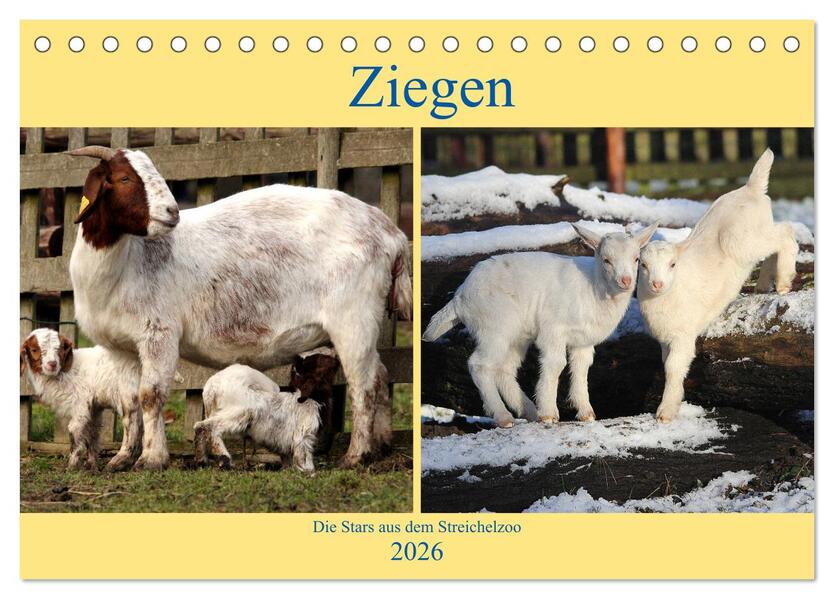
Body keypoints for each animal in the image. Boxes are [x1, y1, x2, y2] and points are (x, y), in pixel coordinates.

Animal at [19, 328, 143, 471]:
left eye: (60, 348)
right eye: (34, 349)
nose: (52, 364)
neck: (66, 371)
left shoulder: (80, 404)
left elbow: (74, 433)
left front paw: (71, 467)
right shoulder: (94, 407)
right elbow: (92, 434)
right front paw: (91, 465)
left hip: (129, 395)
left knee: (133, 425)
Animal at [194, 350, 341, 472]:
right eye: (319, 359)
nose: (336, 357)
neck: (312, 398)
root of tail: (212, 387)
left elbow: (287, 457)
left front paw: (287, 469)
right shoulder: (303, 435)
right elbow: (304, 455)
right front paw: (309, 471)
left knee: (200, 427)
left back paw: (201, 460)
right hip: (240, 413)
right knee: (206, 426)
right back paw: (224, 460)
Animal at [423, 222, 658, 427]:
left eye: (637, 259)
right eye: (606, 260)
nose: (626, 281)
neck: (593, 287)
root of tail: (460, 297)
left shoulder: (582, 340)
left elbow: (581, 369)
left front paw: (586, 413)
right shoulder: (553, 329)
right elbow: (556, 363)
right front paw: (549, 414)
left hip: (516, 336)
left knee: (504, 369)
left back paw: (528, 410)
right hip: (494, 326)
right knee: (479, 365)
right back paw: (504, 417)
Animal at [637, 149, 798, 423]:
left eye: (672, 264)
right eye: (642, 265)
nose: (657, 284)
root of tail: (750, 188)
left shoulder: (682, 334)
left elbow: (673, 368)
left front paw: (666, 412)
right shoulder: (665, 338)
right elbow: (668, 365)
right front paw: (676, 401)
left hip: (743, 240)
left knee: (786, 233)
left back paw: (785, 282)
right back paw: (764, 284)